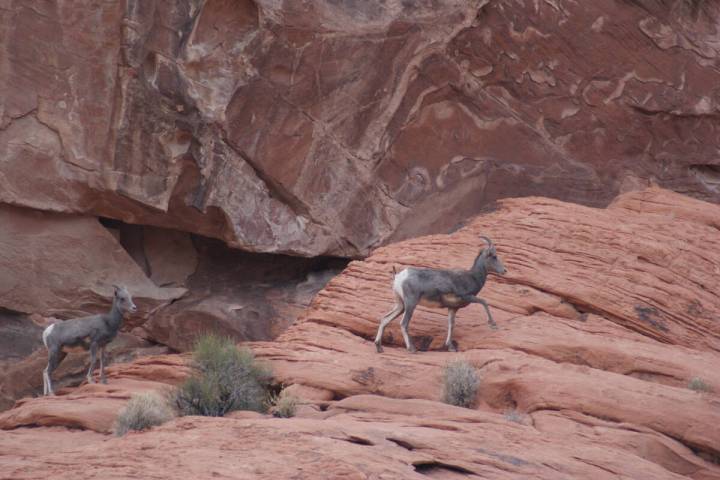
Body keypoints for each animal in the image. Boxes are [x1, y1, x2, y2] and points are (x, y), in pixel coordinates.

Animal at [376, 236, 506, 352]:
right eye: (494, 256)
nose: (504, 271)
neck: (472, 278)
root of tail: (399, 277)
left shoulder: (452, 308)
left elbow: (451, 325)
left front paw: (451, 347)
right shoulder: (467, 296)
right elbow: (484, 302)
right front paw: (493, 324)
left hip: (400, 305)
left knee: (385, 319)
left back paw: (379, 348)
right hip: (410, 304)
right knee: (403, 323)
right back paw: (411, 349)